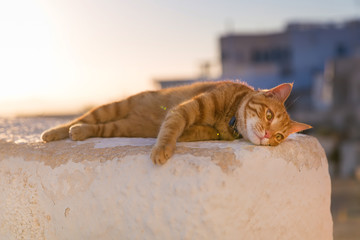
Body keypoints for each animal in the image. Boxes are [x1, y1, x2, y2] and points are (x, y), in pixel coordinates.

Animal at [42, 81, 310, 164]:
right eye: (269, 116)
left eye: (279, 137)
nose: (267, 136)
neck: (229, 118)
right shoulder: (185, 110)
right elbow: (171, 128)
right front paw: (162, 149)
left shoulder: (200, 130)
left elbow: (175, 129)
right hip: (115, 107)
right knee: (83, 118)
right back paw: (55, 132)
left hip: (120, 127)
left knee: (98, 127)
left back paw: (79, 132)